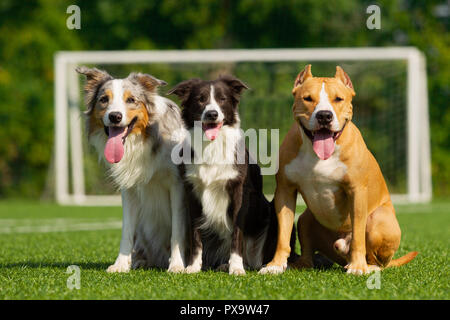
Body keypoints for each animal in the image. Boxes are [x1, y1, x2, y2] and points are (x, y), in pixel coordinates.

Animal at [77, 67, 188, 272]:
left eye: (131, 100)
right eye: (104, 99)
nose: (115, 116)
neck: (142, 139)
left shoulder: (177, 185)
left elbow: (177, 230)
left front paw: (177, 265)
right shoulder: (129, 189)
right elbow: (127, 229)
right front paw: (120, 264)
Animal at [260, 65, 418, 276]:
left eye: (338, 99)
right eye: (308, 98)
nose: (324, 115)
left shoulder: (356, 192)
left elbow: (358, 235)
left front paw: (358, 267)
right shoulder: (285, 191)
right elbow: (283, 235)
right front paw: (275, 265)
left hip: (378, 221)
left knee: (375, 257)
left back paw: (367, 266)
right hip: (305, 219)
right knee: (308, 254)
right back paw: (299, 264)